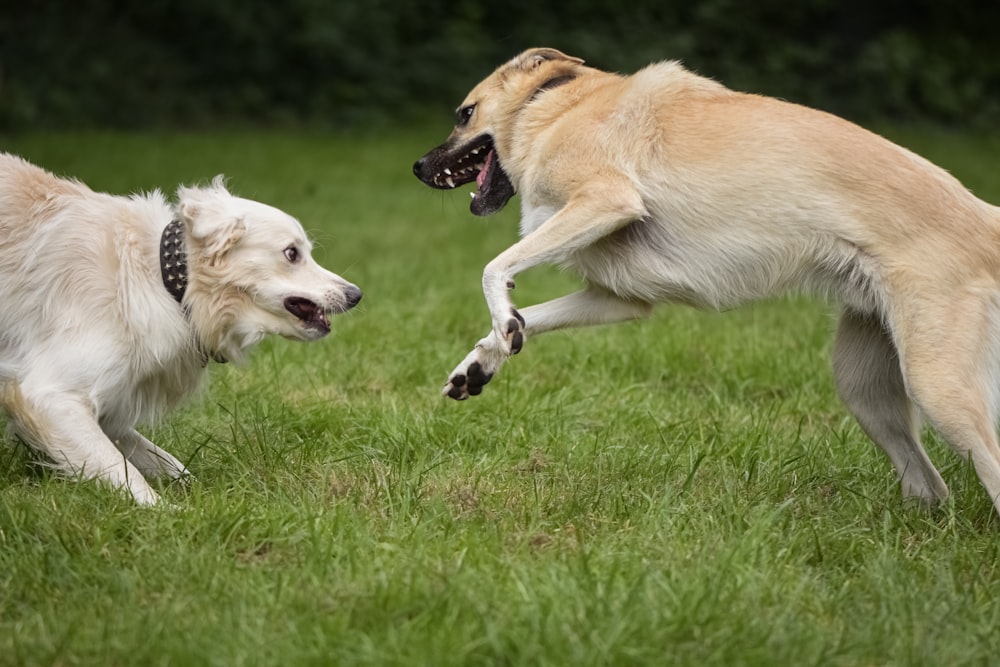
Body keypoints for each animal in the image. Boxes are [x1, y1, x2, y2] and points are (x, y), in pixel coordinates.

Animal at [0, 153, 360, 506]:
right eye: (291, 253)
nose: (356, 295)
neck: (164, 280)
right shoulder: (49, 396)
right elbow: (129, 476)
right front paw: (169, 513)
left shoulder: (109, 406)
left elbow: (165, 463)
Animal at [412, 47, 1000, 516]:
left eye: (465, 114)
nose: (418, 168)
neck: (555, 107)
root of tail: (986, 221)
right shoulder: (619, 298)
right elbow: (522, 319)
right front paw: (483, 360)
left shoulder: (605, 200)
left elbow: (494, 267)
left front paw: (500, 322)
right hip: (866, 388)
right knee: (931, 488)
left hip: (938, 385)